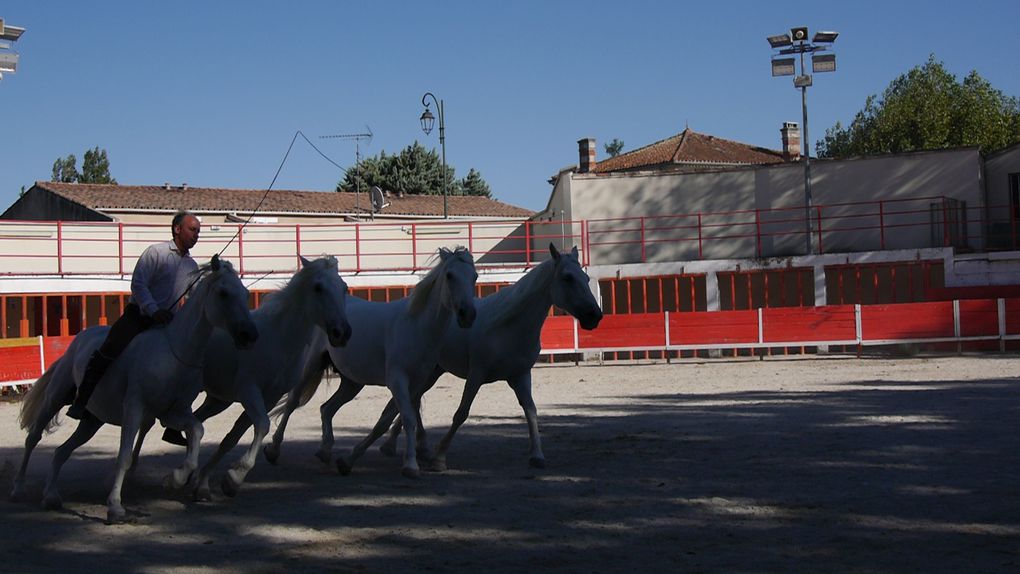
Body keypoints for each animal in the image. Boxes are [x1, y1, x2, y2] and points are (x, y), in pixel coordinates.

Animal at [10, 254, 257, 522]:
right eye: (223, 293)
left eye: (245, 293)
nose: (249, 335)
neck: (175, 353)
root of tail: (78, 340)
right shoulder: (135, 409)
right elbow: (125, 456)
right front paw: (115, 507)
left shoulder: (172, 412)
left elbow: (197, 430)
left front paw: (175, 478)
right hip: (55, 397)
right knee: (33, 438)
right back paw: (19, 488)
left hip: (91, 421)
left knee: (61, 452)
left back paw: (51, 496)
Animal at [183, 253, 354, 501]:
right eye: (318, 287)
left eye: (343, 287)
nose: (341, 332)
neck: (277, 339)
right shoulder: (249, 392)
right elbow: (262, 425)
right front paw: (235, 477)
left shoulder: (270, 397)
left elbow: (233, 437)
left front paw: (208, 482)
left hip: (218, 399)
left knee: (194, 421)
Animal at [263, 249, 477, 479]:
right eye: (450, 275)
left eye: (474, 276)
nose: (467, 315)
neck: (416, 326)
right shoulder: (398, 381)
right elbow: (408, 419)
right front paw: (410, 465)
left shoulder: (417, 384)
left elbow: (386, 421)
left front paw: (348, 461)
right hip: (311, 366)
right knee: (293, 402)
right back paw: (274, 450)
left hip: (352, 382)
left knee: (327, 409)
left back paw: (325, 451)